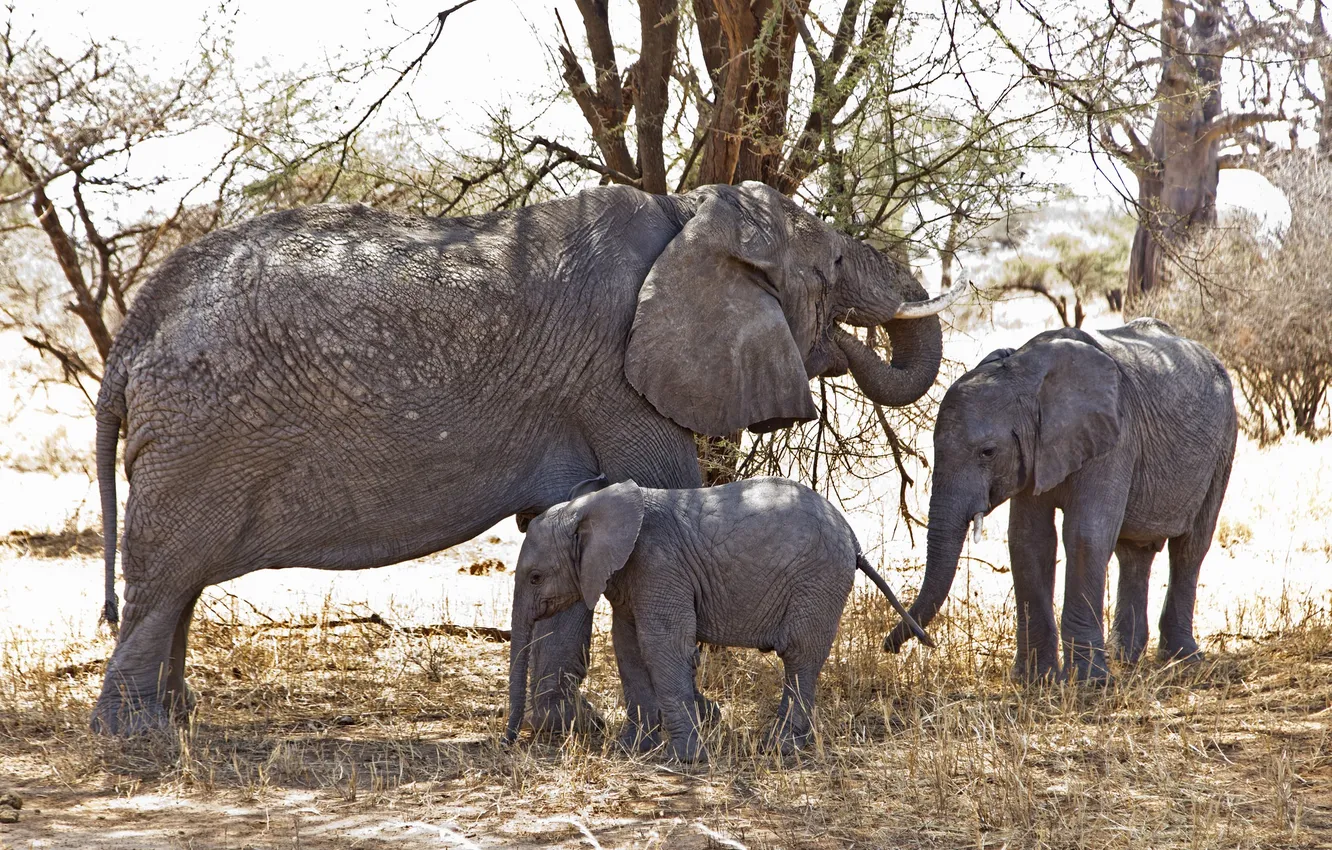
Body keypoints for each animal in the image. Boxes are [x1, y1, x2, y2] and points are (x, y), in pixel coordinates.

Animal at [503, 479, 932, 767]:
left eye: (535, 577)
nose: (509, 743)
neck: (591, 506)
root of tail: (852, 538)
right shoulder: (628, 576)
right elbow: (628, 648)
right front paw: (631, 749)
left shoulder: (659, 565)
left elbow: (662, 645)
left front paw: (685, 760)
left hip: (818, 580)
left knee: (800, 656)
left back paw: (779, 747)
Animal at [884, 319, 1236, 687]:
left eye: (988, 452)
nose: (894, 646)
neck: (1026, 374)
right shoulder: (1034, 453)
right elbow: (1028, 541)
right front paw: (1035, 680)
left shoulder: (1115, 437)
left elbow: (1085, 536)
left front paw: (1090, 684)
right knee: (1133, 552)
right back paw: (1125, 658)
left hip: (1224, 441)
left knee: (1190, 546)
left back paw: (1183, 659)